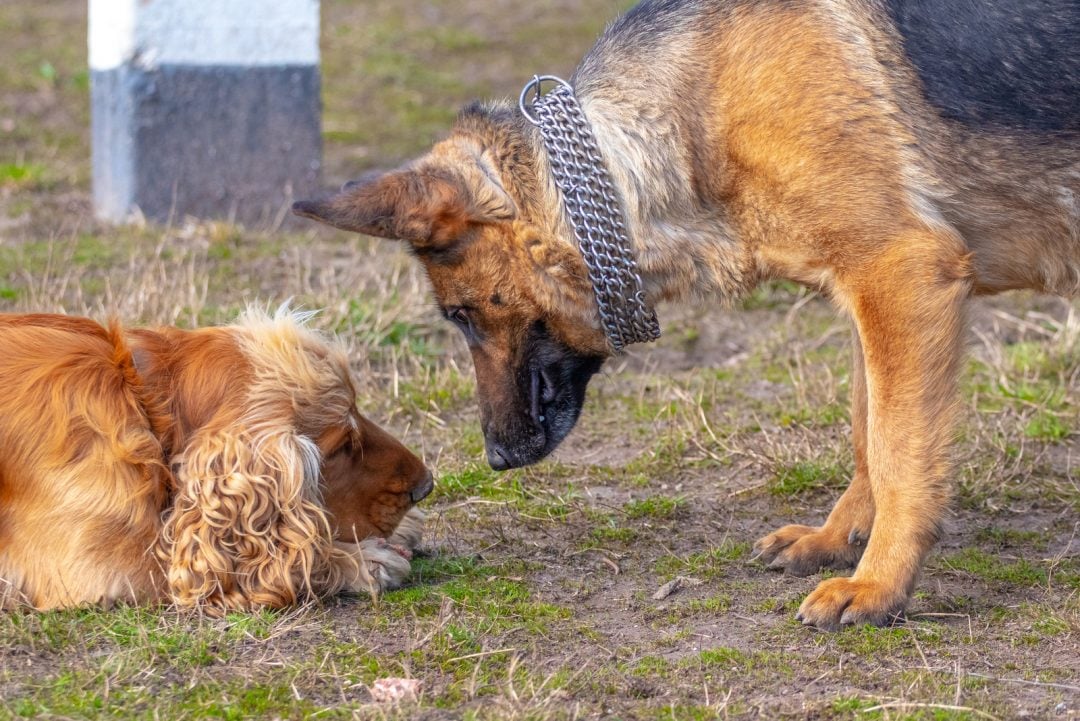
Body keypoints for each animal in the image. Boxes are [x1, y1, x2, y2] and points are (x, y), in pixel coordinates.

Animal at [291, 0, 1075, 626]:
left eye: (459, 315)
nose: (495, 459)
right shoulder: (869, 294)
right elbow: (865, 432)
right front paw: (838, 539)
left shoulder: (904, 273)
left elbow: (897, 451)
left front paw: (879, 585)